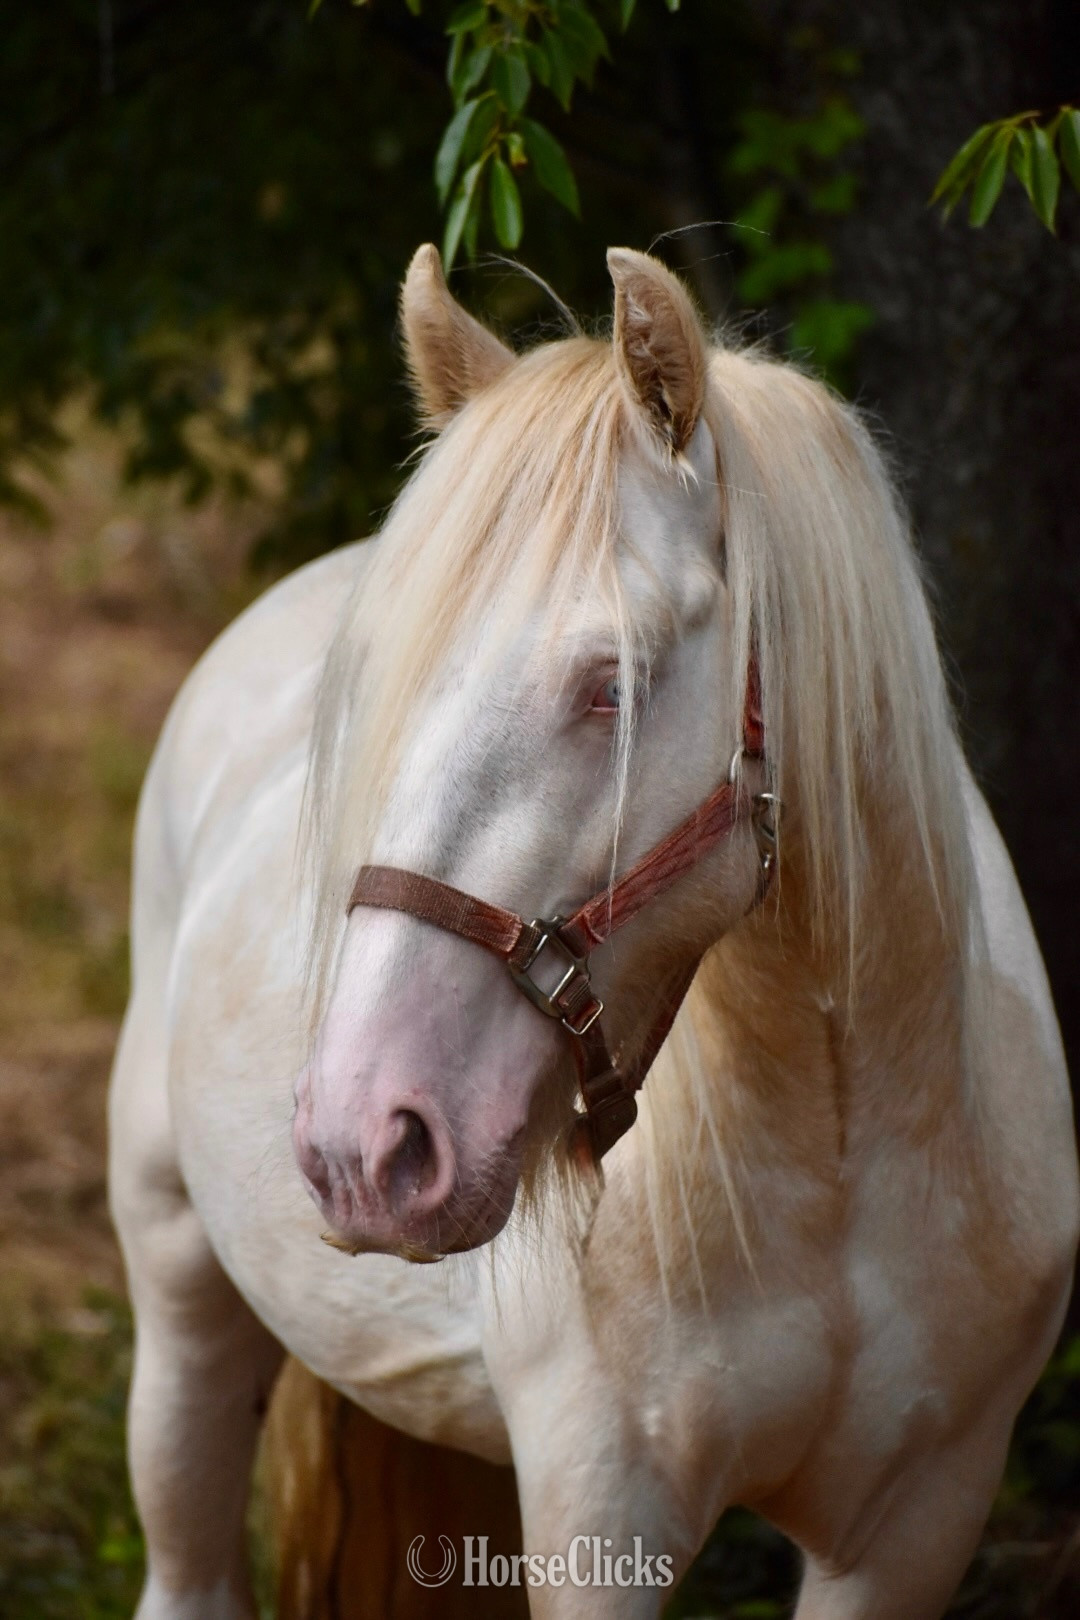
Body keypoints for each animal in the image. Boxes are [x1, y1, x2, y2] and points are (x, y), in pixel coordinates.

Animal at [108, 242, 1079, 1620]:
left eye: (610, 685)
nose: (366, 1142)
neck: (843, 1156)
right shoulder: (601, 1510)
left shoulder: (915, 1524)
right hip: (179, 1296)